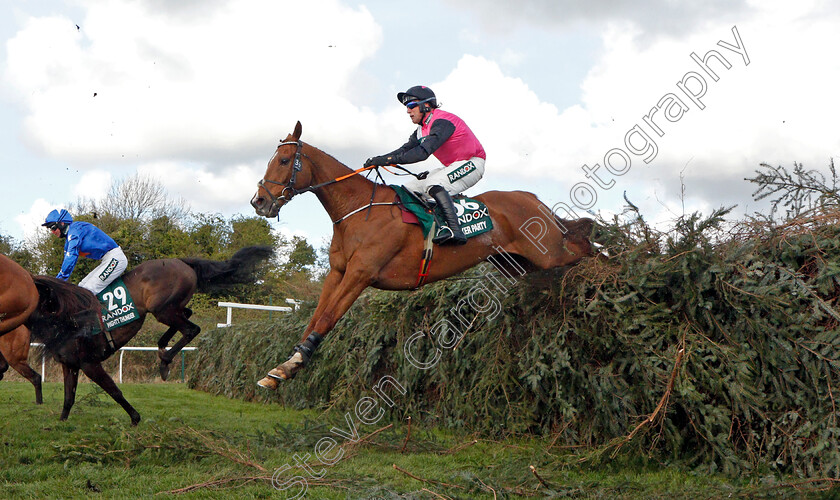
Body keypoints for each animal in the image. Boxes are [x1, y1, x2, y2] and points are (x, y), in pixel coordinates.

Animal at [27, 244, 272, 424]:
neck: (65, 318)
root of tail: (182, 262)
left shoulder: (89, 363)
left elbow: (114, 391)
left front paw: (135, 418)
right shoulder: (70, 364)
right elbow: (68, 398)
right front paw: (61, 422)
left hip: (162, 308)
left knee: (192, 329)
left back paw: (165, 360)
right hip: (169, 308)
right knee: (187, 316)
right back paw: (163, 349)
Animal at [249, 123, 596, 388]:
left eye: (283, 160)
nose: (259, 201)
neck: (357, 210)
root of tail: (532, 198)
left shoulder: (360, 274)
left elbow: (327, 317)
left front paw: (292, 362)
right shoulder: (338, 273)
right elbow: (314, 318)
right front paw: (285, 367)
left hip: (548, 252)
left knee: (584, 248)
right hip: (517, 264)